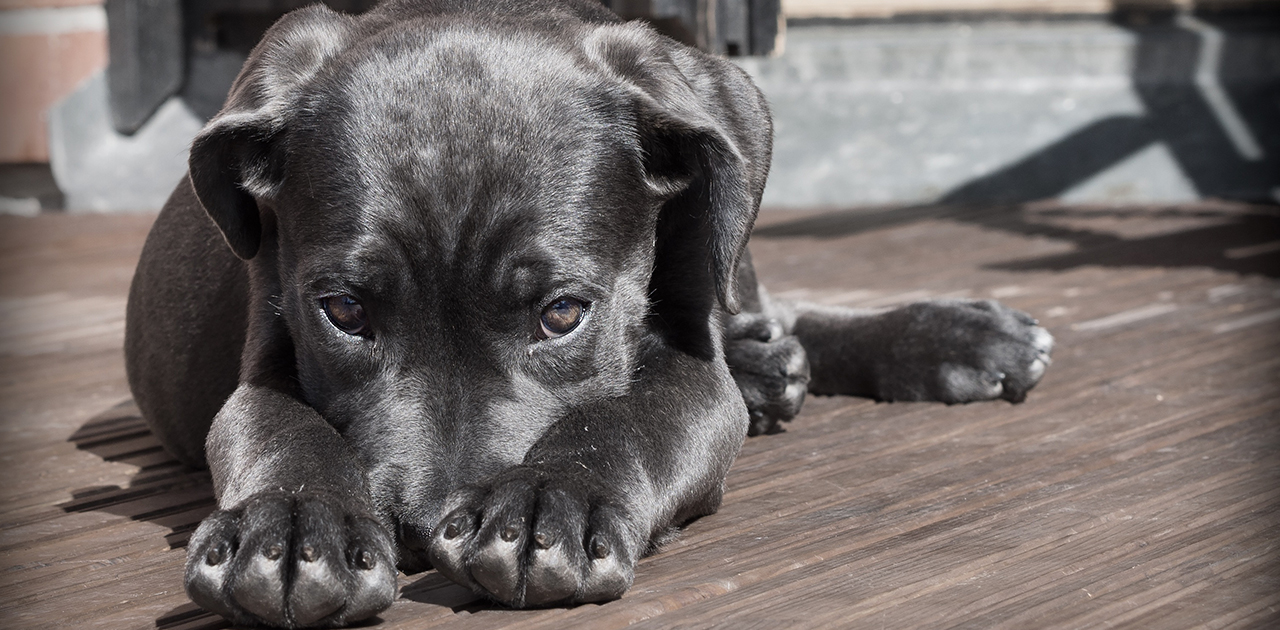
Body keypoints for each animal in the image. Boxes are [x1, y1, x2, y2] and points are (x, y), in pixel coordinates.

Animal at [124, 2, 1054, 627]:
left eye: (563, 314)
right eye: (344, 310)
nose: (423, 529)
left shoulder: (689, 362)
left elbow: (632, 417)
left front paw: (549, 502)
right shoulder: (267, 348)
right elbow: (277, 427)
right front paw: (291, 526)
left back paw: (950, 336)